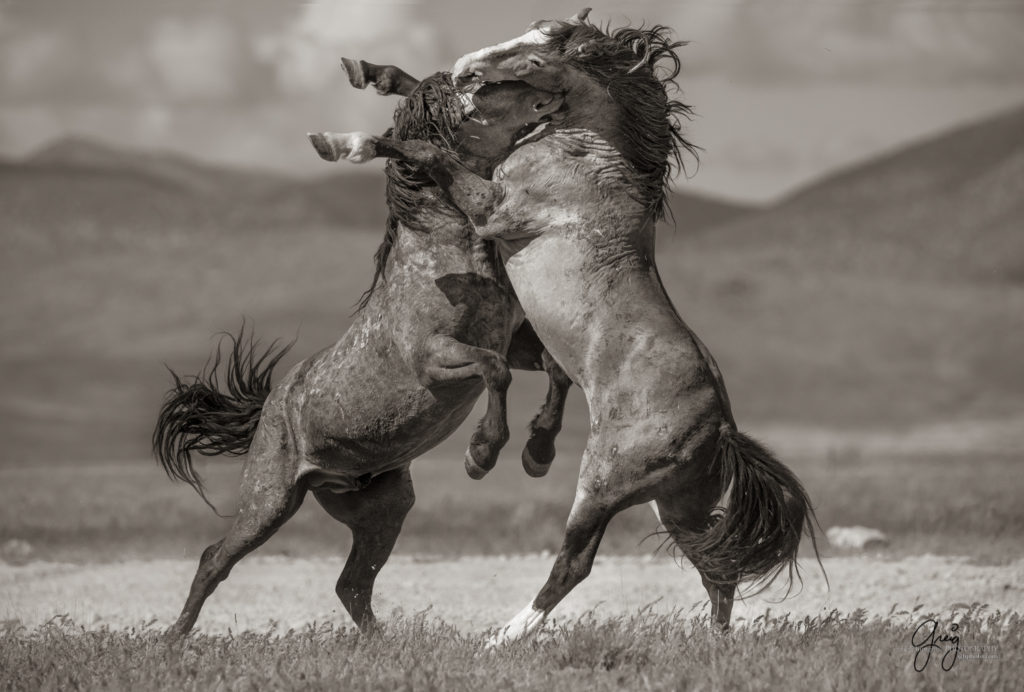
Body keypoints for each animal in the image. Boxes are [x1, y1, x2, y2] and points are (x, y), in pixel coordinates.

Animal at [151, 73, 569, 638]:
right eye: (478, 94)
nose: (553, 96)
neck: (446, 255)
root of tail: (269, 410)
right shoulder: (438, 360)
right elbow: (494, 371)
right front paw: (481, 454)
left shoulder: (512, 338)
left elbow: (553, 369)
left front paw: (539, 451)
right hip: (269, 502)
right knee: (215, 559)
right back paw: (174, 638)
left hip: (383, 509)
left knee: (351, 584)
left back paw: (381, 643)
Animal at [311, 9, 823, 642]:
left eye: (535, 59)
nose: (466, 70)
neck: (587, 157)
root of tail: (719, 427)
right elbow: (425, 113)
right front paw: (373, 73)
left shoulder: (493, 206)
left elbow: (426, 151)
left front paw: (342, 142)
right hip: (680, 503)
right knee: (716, 564)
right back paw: (714, 641)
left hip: (603, 484)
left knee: (575, 563)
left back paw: (502, 637)